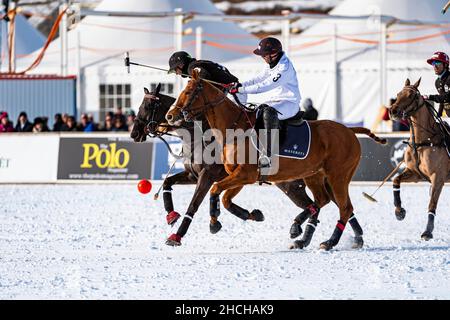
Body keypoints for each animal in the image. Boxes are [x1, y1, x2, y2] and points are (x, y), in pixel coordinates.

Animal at [166, 70, 386, 250]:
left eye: (189, 91)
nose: (170, 116)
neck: (232, 129)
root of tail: (350, 130)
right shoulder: (240, 177)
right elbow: (226, 199)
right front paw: (253, 214)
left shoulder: (243, 174)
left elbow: (213, 191)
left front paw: (212, 223)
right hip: (315, 176)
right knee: (324, 201)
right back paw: (302, 236)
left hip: (338, 176)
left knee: (344, 207)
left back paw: (328, 241)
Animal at [388, 79, 448, 240]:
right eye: (398, 94)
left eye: (411, 95)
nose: (392, 111)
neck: (423, 141)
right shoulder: (415, 174)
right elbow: (396, 180)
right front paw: (399, 212)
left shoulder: (438, 178)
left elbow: (432, 204)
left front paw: (427, 232)